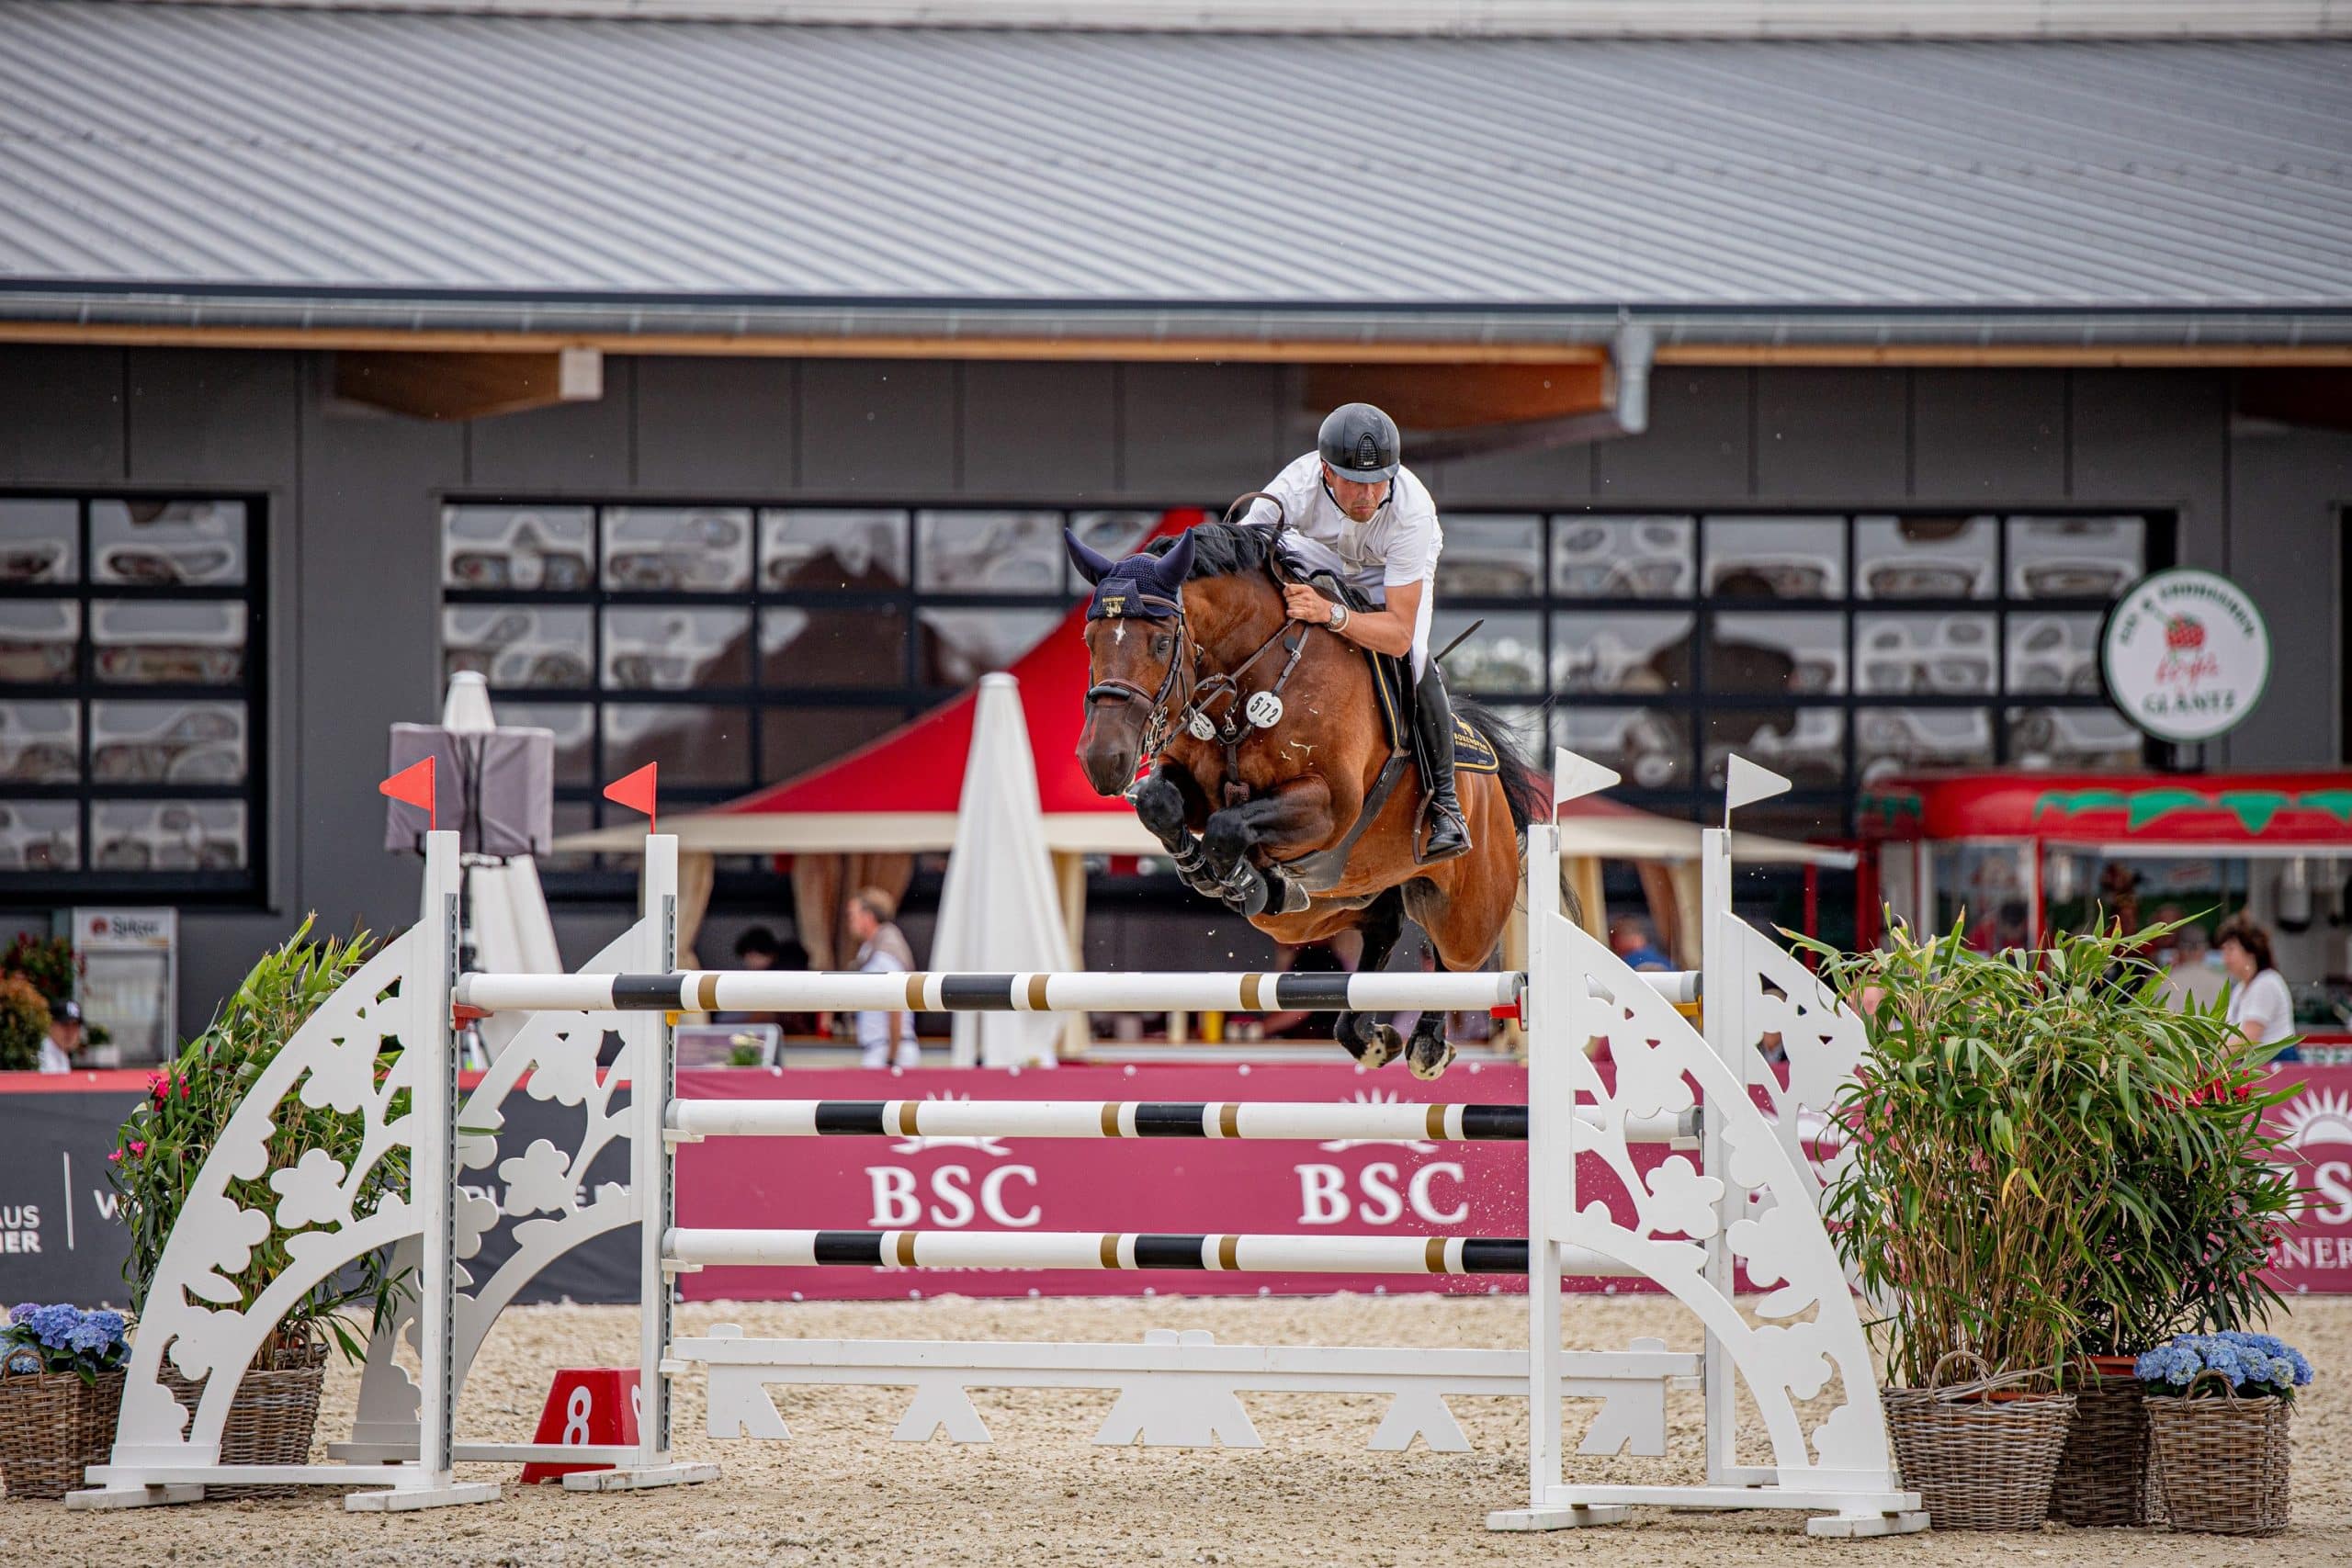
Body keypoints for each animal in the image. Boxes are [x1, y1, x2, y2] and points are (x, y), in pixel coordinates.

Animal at [1068, 524, 1543, 1081]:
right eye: (1089, 641)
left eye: (1162, 642)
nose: (1102, 759)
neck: (1251, 678)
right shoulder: (1190, 782)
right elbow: (1159, 802)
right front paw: (1205, 869)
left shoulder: (1328, 805)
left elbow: (1231, 826)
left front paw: (1235, 876)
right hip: (1323, 909)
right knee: (1382, 926)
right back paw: (1364, 1033)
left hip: (1465, 913)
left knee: (1457, 962)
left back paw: (1427, 1042)